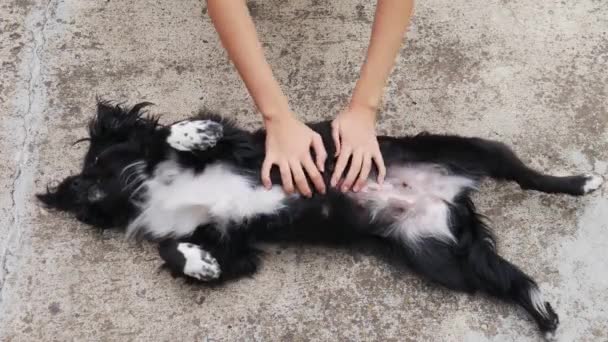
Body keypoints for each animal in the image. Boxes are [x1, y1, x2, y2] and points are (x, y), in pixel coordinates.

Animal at [38, 101, 604, 340]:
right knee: (505, 279)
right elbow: (177, 249)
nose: (78, 193)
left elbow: (174, 130)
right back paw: (541, 310)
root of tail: (452, 200)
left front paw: (192, 133)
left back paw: (582, 183)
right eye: (85, 189)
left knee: (525, 173)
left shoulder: (245, 148)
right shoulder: (232, 243)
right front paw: (198, 266)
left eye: (98, 160)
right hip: (441, 259)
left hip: (471, 150)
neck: (149, 187)